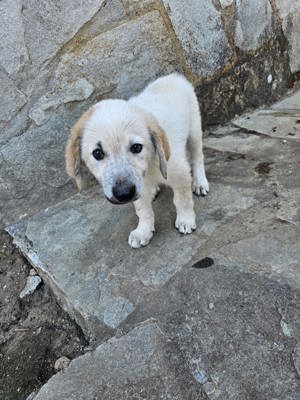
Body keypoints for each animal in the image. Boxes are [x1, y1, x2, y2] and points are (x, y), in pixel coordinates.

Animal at [65, 72, 209, 247]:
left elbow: (182, 199)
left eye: (136, 147)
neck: (150, 163)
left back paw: (200, 182)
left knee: (198, 157)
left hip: (194, 129)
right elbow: (143, 210)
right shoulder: (138, 187)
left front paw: (186, 220)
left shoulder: (179, 172)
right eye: (97, 153)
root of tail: (173, 76)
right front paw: (143, 231)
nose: (124, 193)